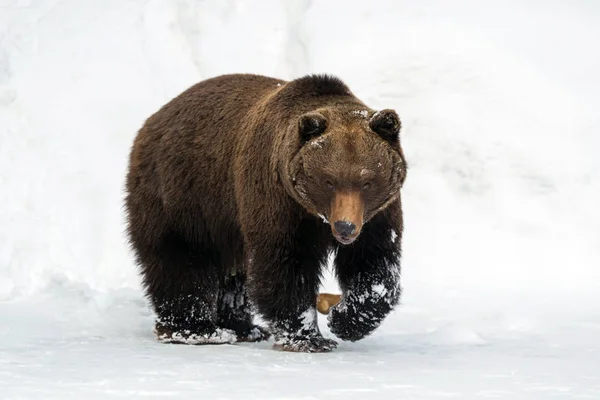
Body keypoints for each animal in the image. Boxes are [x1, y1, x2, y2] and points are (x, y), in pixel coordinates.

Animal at [126, 73, 408, 352]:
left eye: (367, 182)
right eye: (328, 180)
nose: (345, 227)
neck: (316, 215)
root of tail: (154, 119)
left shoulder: (375, 215)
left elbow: (373, 263)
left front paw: (347, 320)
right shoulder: (278, 199)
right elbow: (285, 263)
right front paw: (308, 338)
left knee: (233, 272)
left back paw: (244, 328)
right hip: (184, 194)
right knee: (181, 258)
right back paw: (197, 330)